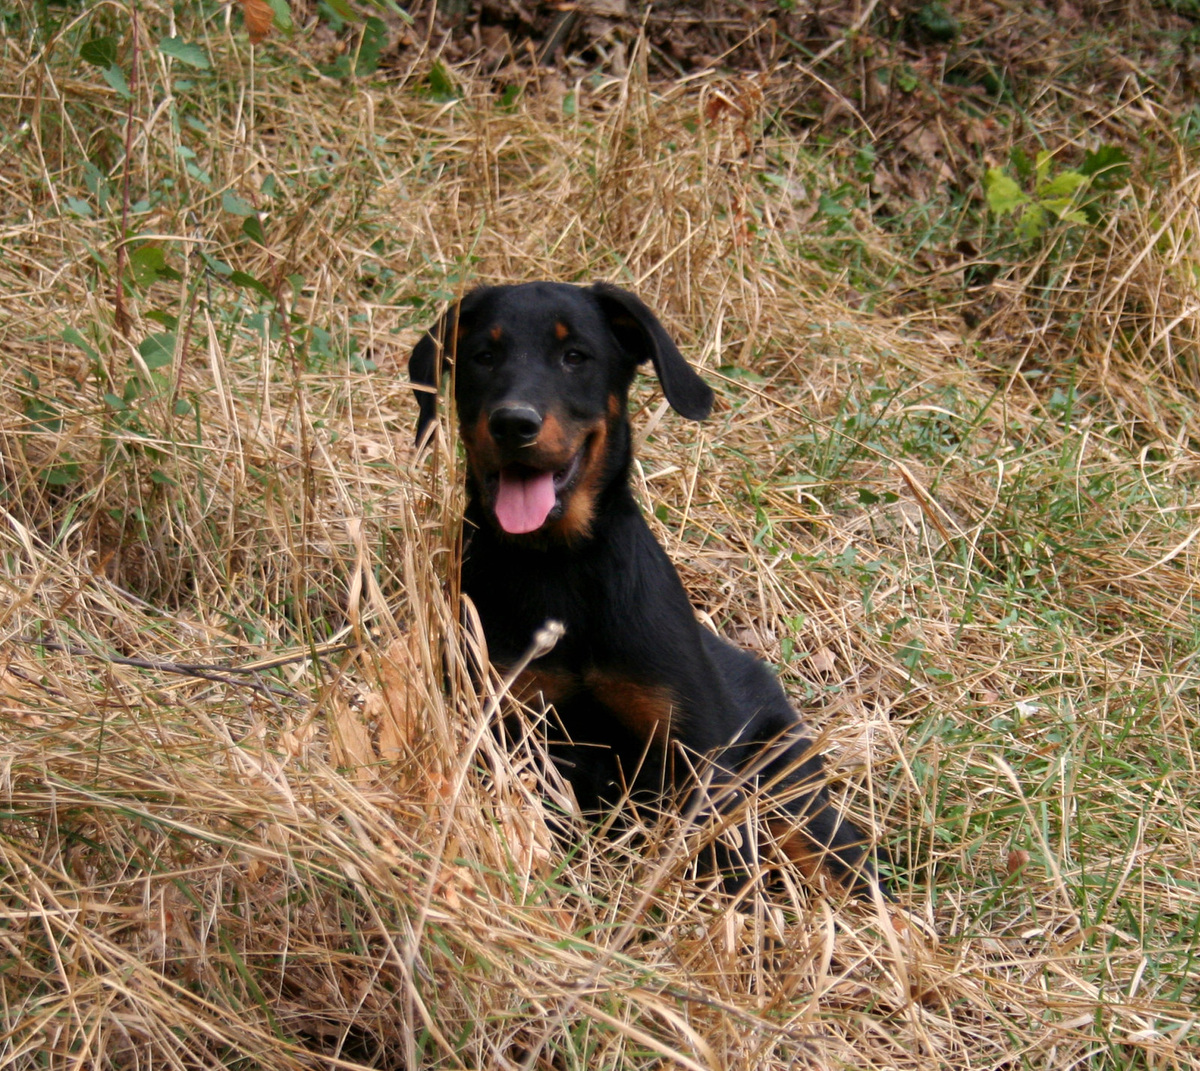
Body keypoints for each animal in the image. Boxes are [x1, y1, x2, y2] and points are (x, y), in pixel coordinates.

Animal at [412, 279, 883, 893]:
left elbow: (715, 866)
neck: (560, 566)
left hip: (792, 793)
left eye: (575, 356)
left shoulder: (696, 753)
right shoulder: (514, 725)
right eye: (483, 356)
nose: (514, 423)